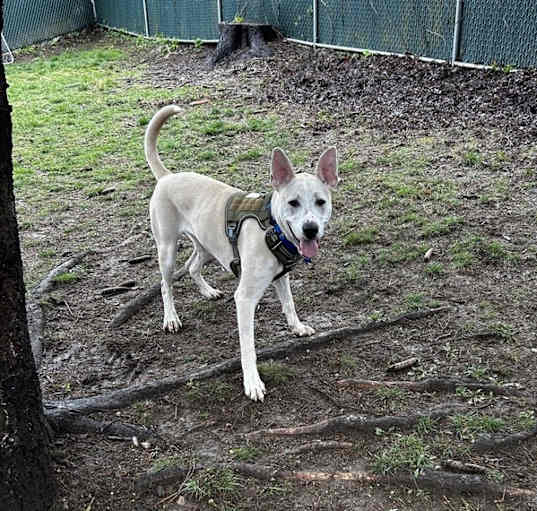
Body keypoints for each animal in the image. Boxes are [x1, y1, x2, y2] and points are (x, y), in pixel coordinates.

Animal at [144, 106, 338, 402]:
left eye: (321, 202)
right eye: (293, 202)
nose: (310, 229)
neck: (272, 227)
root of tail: (167, 176)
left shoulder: (281, 277)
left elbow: (289, 304)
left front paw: (297, 326)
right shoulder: (245, 299)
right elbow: (248, 346)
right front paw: (252, 382)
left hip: (207, 246)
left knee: (193, 266)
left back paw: (208, 291)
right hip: (167, 249)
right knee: (166, 285)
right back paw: (171, 318)